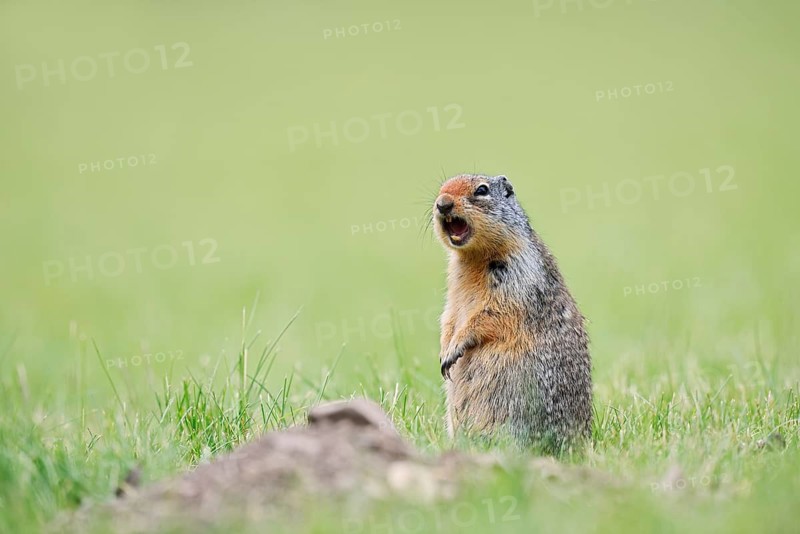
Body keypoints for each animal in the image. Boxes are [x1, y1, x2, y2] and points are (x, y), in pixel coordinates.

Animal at [432, 173, 592, 452]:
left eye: (482, 190)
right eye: (442, 187)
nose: (443, 203)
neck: (472, 258)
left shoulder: (516, 274)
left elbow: (492, 313)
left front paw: (454, 349)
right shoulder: (453, 289)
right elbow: (449, 316)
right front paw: (445, 350)